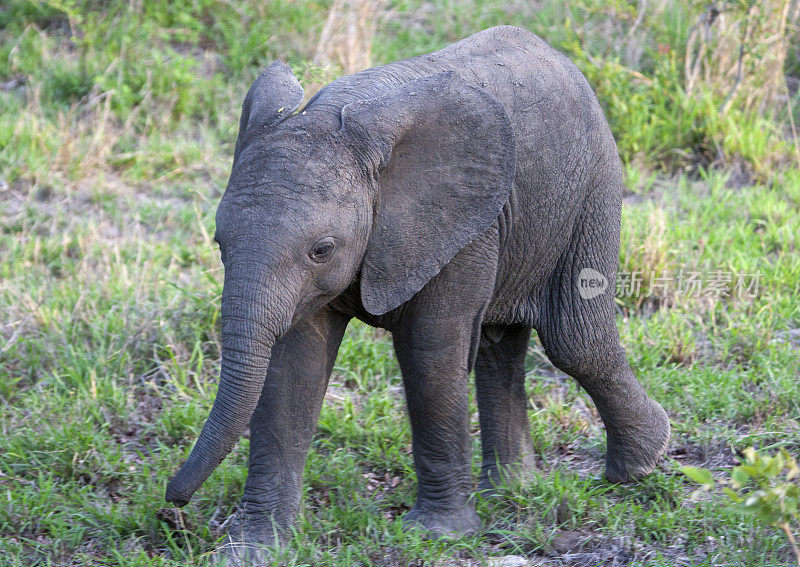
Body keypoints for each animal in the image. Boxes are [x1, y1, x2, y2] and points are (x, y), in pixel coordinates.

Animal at [166, 25, 672, 552]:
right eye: (219, 242)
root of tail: (558, 56)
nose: (173, 502)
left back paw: (640, 464)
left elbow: (429, 353)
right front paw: (256, 547)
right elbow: (292, 365)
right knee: (500, 345)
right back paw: (512, 490)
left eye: (322, 249)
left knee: (575, 341)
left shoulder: (460, 230)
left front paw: (438, 535)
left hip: (593, 184)